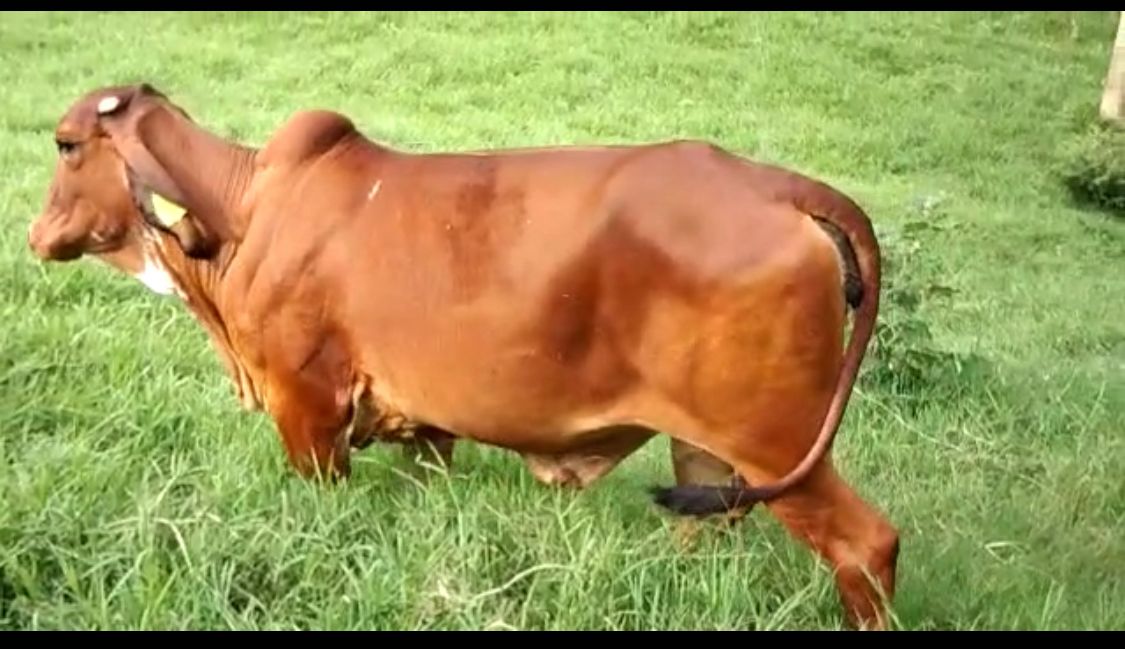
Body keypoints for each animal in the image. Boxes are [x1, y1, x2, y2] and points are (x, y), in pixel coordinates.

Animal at [26, 83, 899, 630]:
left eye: (67, 144)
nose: (35, 235)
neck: (241, 215)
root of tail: (784, 187)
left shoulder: (306, 407)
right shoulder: (422, 427)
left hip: (775, 442)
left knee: (867, 546)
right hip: (710, 453)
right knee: (704, 532)